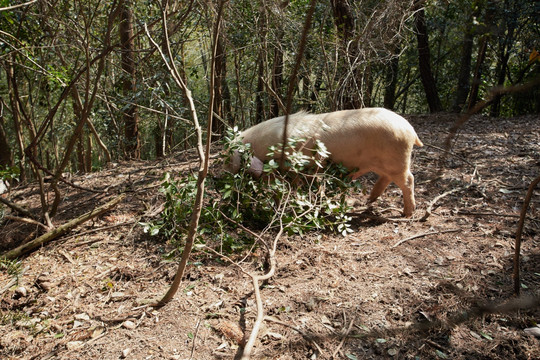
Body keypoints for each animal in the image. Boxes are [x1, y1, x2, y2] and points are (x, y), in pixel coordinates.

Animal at [228, 107, 422, 217]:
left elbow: (281, 190)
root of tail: (410, 129)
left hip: (396, 161)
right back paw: (369, 201)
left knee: (408, 180)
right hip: (382, 164)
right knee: (386, 178)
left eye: (231, 159)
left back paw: (407, 214)